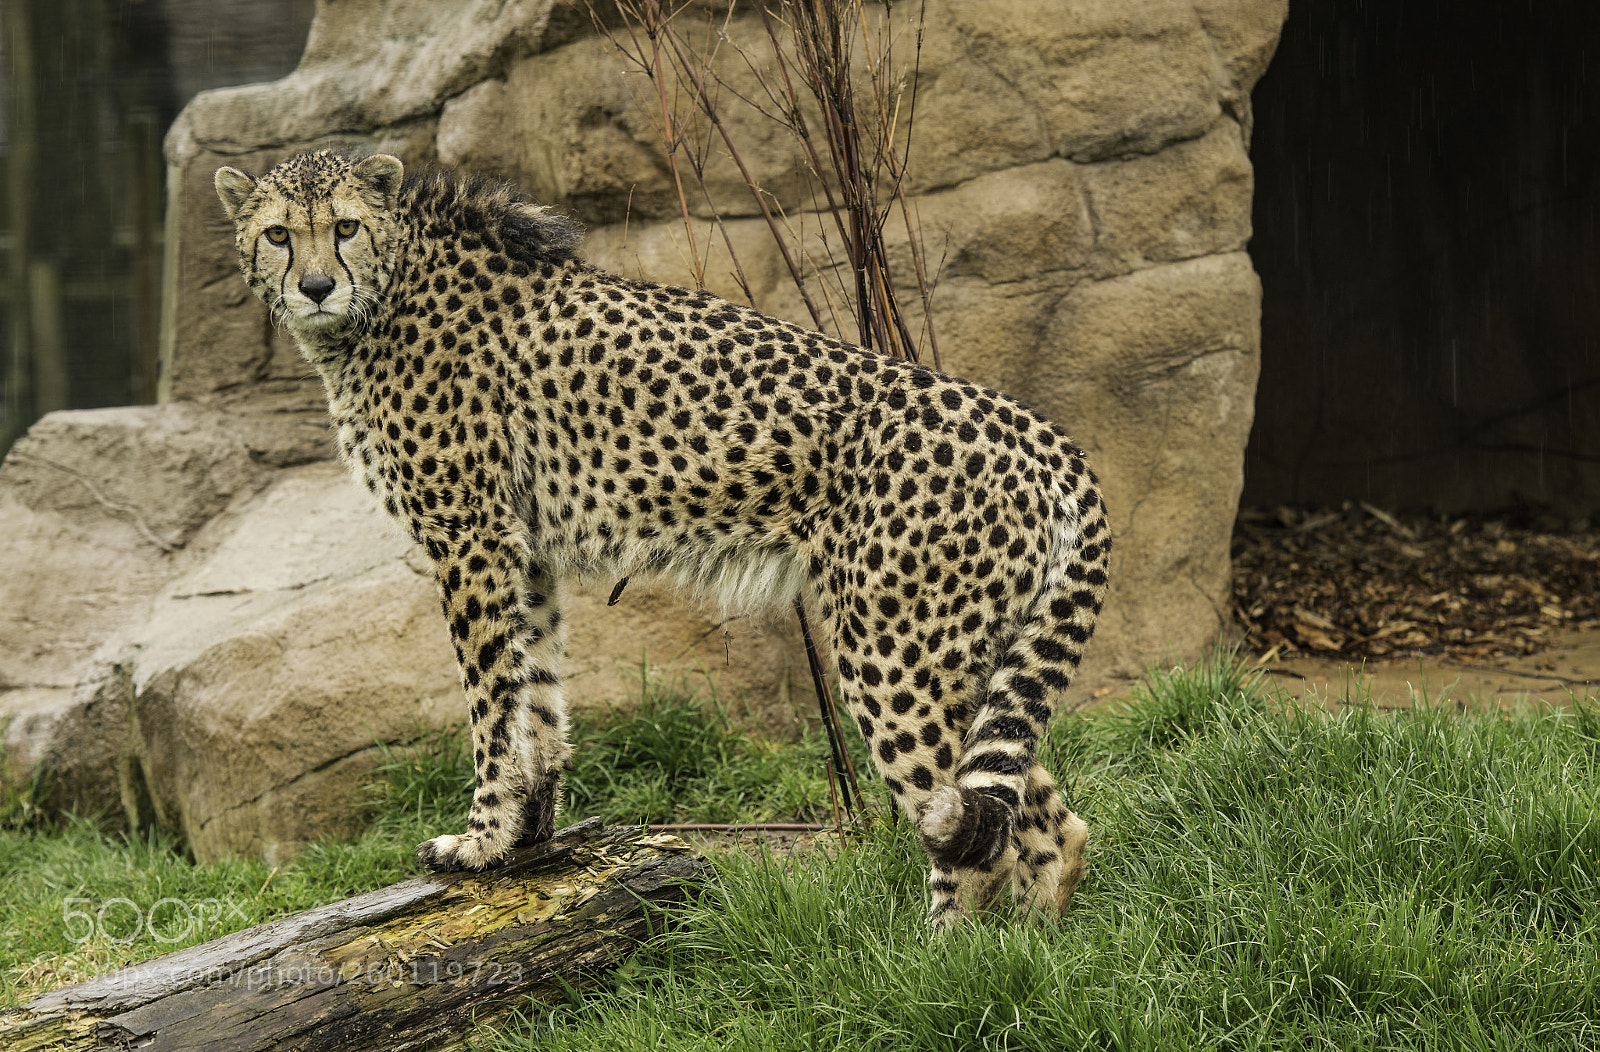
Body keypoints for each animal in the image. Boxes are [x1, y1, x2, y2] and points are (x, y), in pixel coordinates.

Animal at [215, 149, 1110, 927]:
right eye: (279, 234)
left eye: (345, 226)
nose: (316, 286)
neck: (384, 295)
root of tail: (1037, 429)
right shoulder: (523, 548)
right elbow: (537, 689)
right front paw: (528, 831)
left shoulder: (468, 538)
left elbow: (489, 702)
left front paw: (479, 842)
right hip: (966, 648)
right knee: (1041, 816)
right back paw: (1027, 956)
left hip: (893, 652)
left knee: (972, 827)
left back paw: (940, 962)